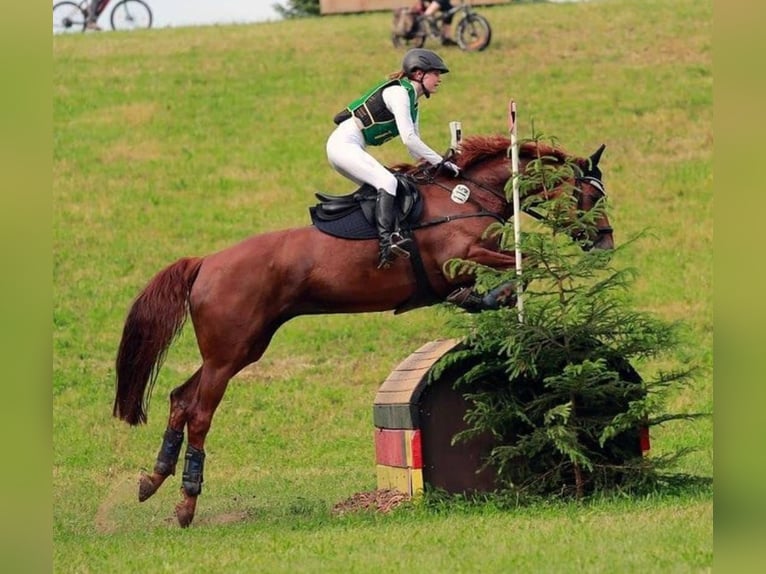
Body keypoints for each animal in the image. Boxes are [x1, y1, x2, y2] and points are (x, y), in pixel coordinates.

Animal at [114, 134, 616, 528]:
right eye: (592, 198)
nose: (606, 244)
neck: (468, 196)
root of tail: (206, 263)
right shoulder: (461, 258)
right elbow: (522, 265)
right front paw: (492, 298)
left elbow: (518, 269)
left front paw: (490, 301)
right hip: (227, 353)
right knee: (199, 413)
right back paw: (186, 503)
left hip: (243, 348)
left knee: (181, 399)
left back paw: (151, 481)